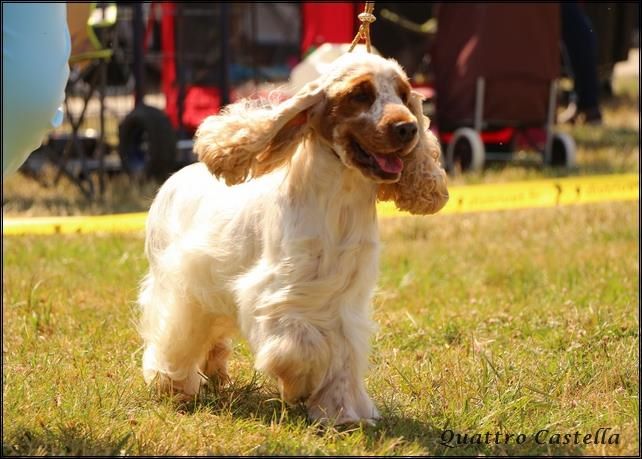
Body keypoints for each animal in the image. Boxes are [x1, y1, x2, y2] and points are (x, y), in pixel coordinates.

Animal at [136, 53, 444, 424]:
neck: (339, 201)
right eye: (360, 94)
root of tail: (177, 176)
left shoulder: (345, 299)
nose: (408, 128)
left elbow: (344, 356)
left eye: (403, 95)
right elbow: (302, 347)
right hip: (180, 285)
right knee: (174, 334)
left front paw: (341, 411)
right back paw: (172, 382)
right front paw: (300, 385)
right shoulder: (279, 293)